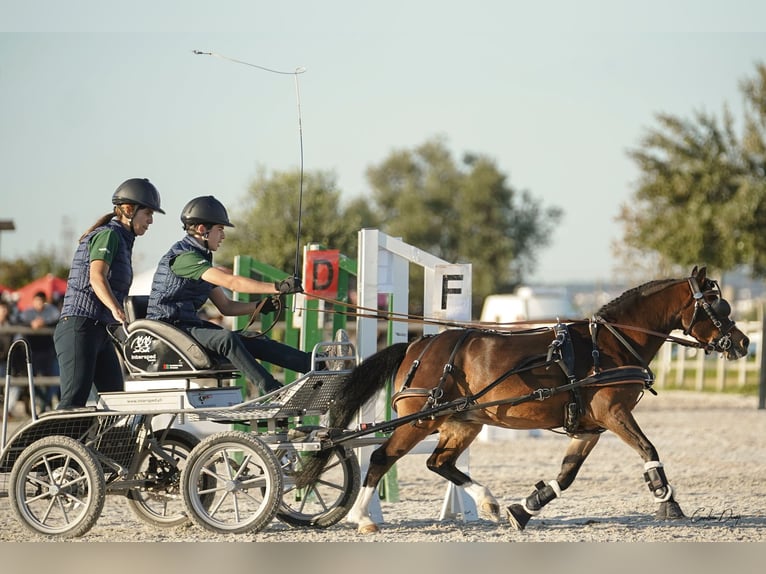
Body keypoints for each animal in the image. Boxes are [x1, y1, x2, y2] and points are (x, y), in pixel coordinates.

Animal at [304, 268, 752, 536]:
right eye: (716, 305)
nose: (744, 343)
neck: (609, 346)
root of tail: (419, 344)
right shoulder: (613, 413)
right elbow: (648, 449)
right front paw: (668, 500)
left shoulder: (590, 427)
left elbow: (567, 475)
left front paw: (526, 507)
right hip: (420, 421)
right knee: (383, 457)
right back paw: (363, 518)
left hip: (463, 422)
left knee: (439, 462)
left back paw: (489, 502)